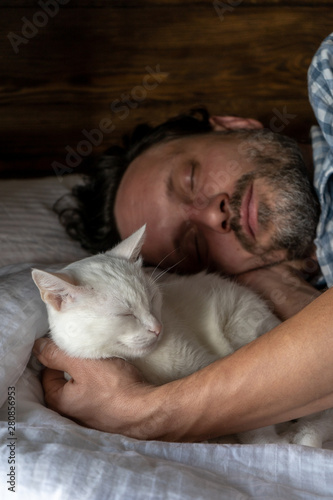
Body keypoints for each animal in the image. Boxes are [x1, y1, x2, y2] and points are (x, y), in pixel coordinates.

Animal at [31, 225, 332, 448]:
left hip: (245, 326)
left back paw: (304, 436)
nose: (157, 327)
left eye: (153, 299)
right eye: (125, 314)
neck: (146, 364)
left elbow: (248, 413)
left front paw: (269, 445)